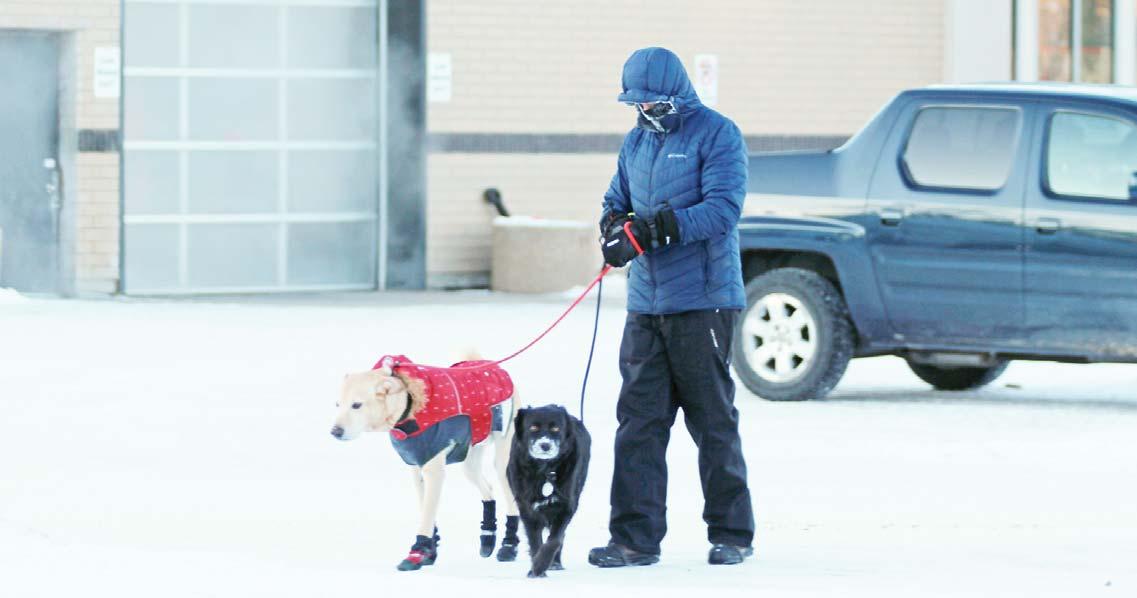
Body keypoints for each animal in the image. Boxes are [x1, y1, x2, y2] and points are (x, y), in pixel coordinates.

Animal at [330, 353, 521, 571]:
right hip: (470, 461)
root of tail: (495, 367)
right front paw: (430, 550)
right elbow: (426, 511)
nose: (334, 432)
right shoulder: (416, 468)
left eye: (356, 405)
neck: (408, 407)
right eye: (337, 405)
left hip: (503, 460)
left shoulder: (434, 471)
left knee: (511, 498)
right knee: (487, 489)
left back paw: (509, 545)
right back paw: (488, 536)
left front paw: (417, 552)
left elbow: (427, 515)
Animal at [506, 405, 591, 578]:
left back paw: (556, 563)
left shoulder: (566, 506)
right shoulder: (527, 508)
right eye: (533, 428)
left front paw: (541, 565)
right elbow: (535, 540)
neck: (544, 469)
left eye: (555, 428)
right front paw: (535, 570)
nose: (545, 445)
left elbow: (555, 540)